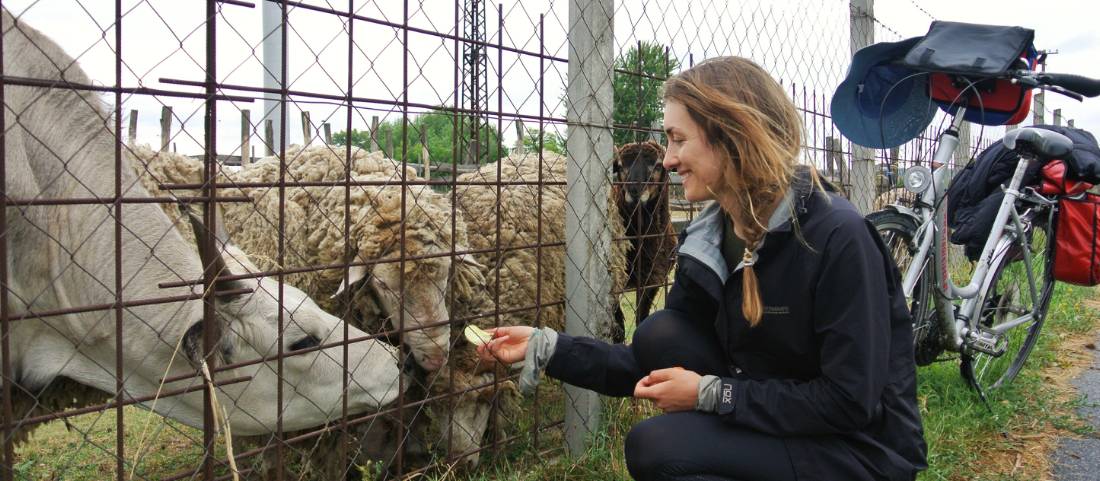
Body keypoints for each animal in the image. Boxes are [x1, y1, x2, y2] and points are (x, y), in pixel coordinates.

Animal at [611, 139, 677, 341]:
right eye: (620, 166)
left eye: (658, 165)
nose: (634, 190)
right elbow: (619, 328)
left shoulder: (653, 281)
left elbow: (642, 318)